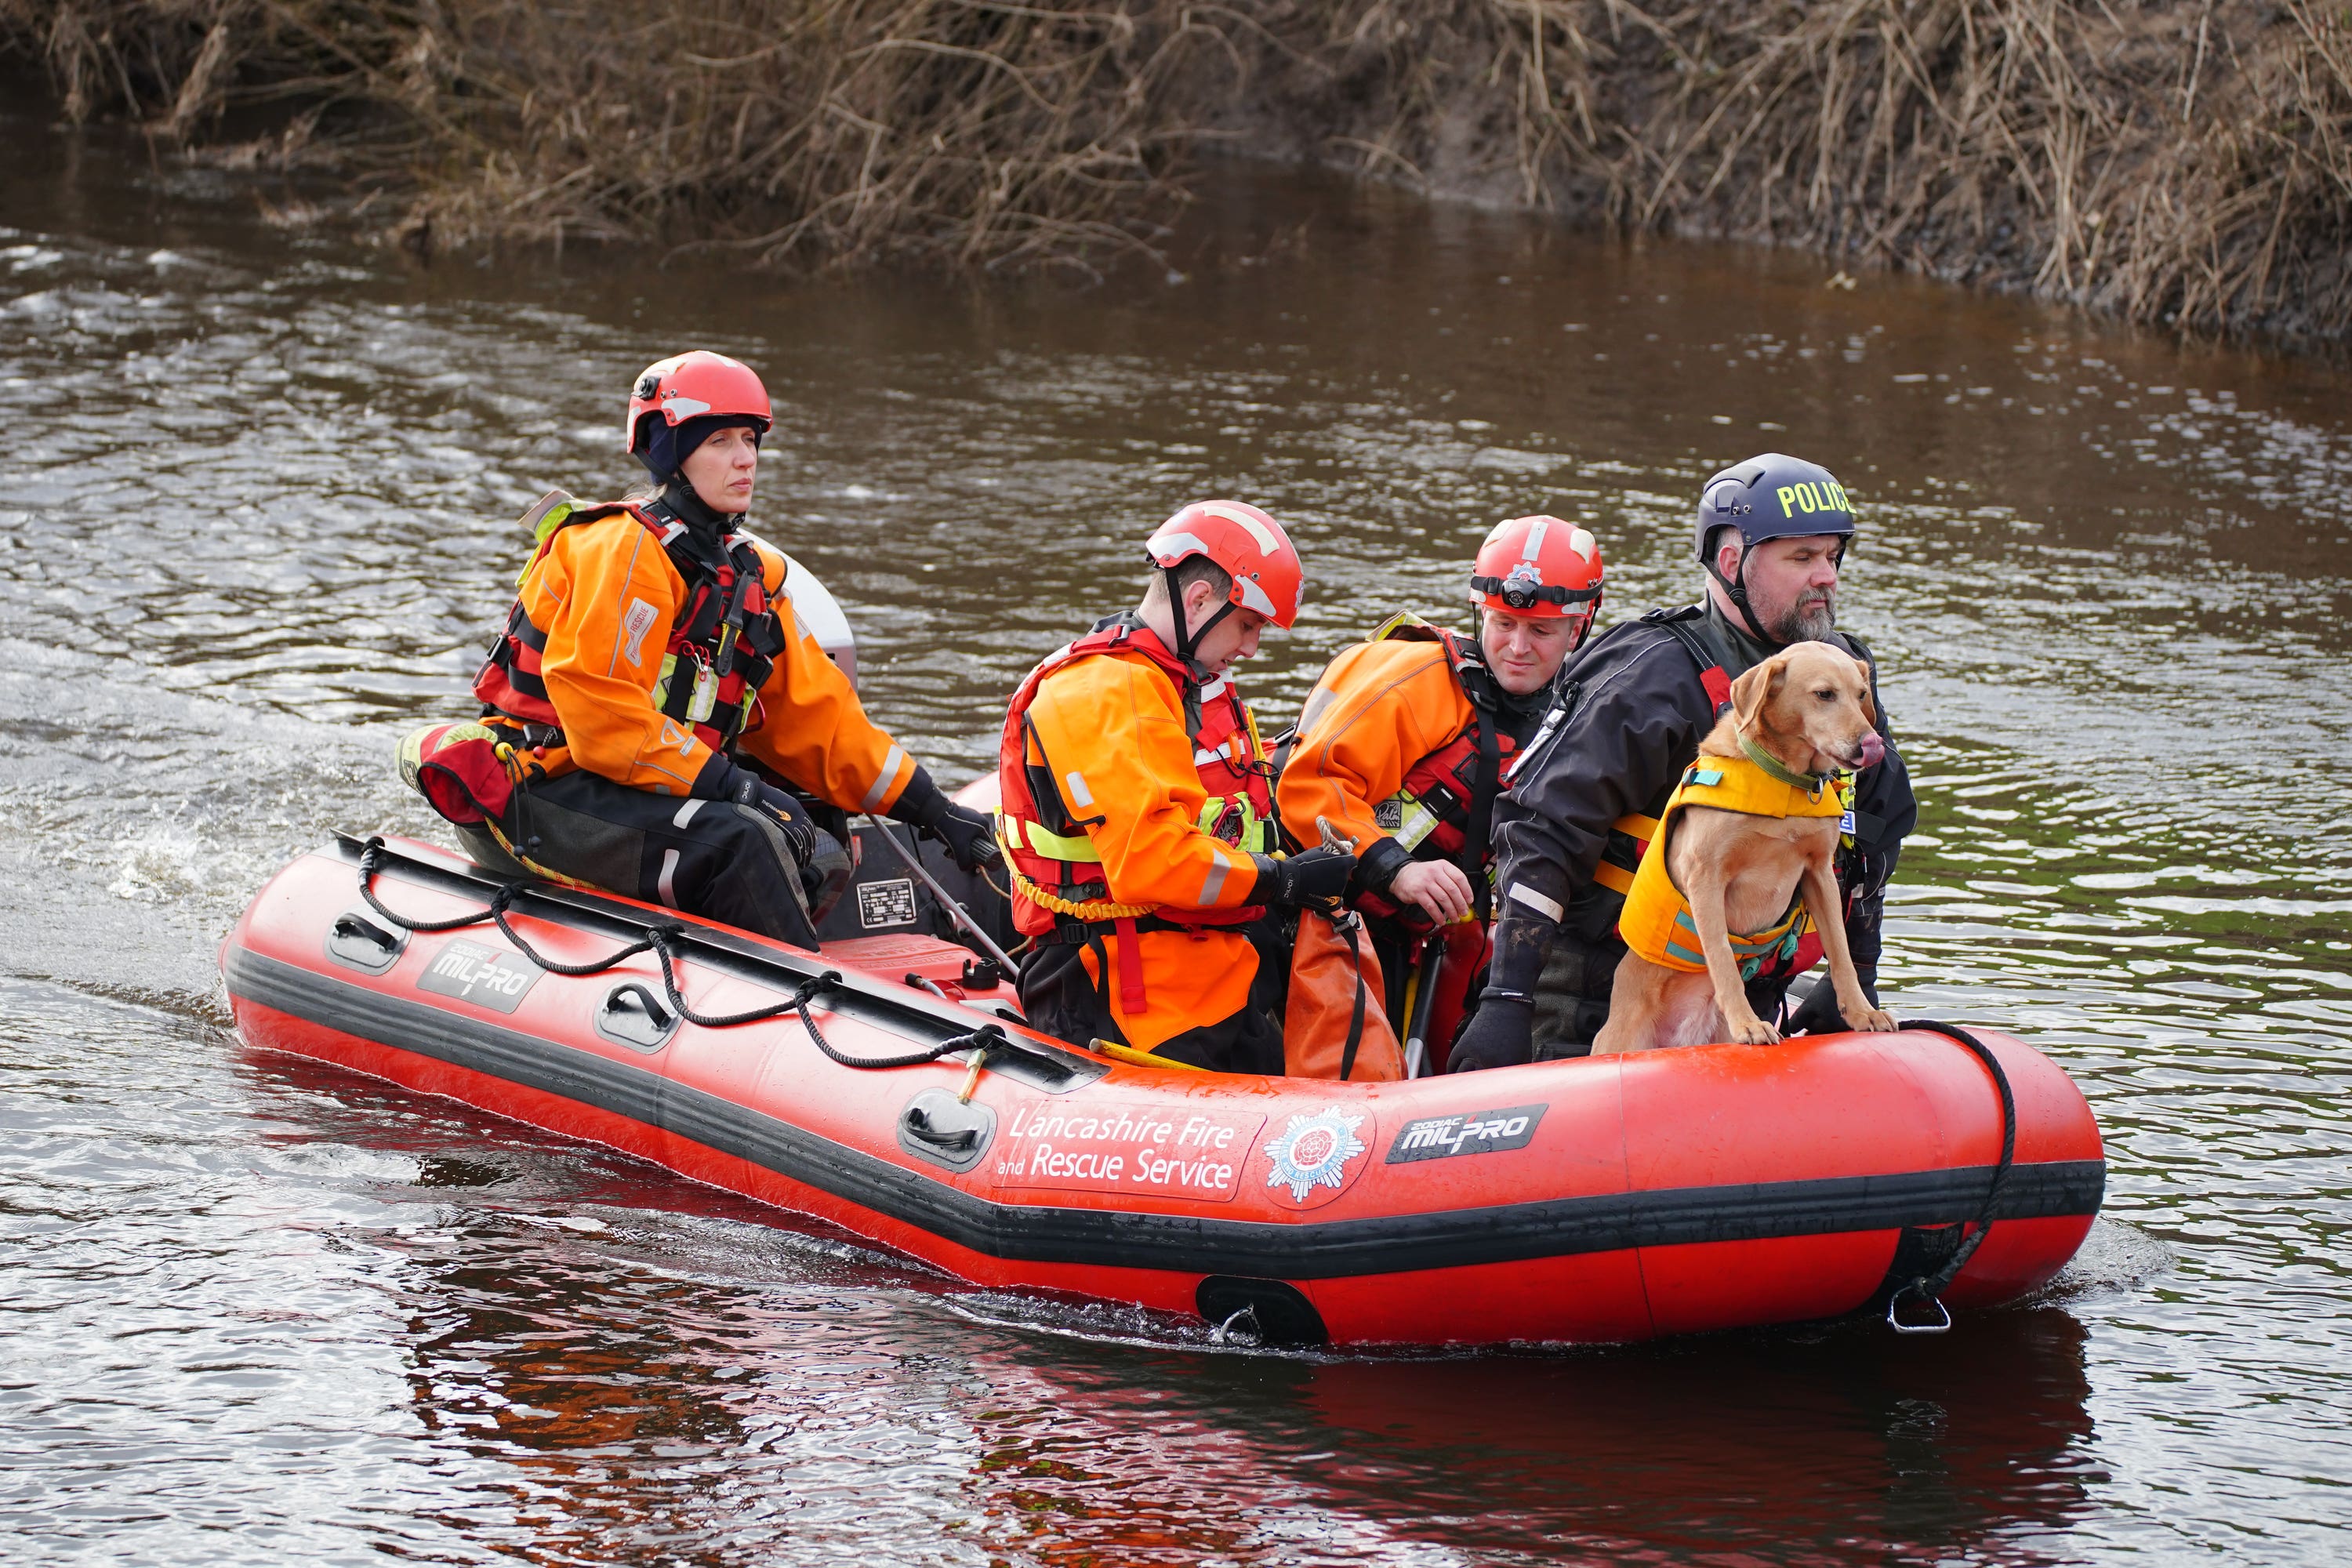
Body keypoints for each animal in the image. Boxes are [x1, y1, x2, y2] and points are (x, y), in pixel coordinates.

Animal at [1590, 639, 1900, 1053]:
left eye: (1862, 694)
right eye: (1824, 694)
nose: (1873, 745)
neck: (1783, 781)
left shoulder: (1819, 875)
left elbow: (1841, 951)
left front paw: (1862, 1012)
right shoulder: (1705, 877)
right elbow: (1723, 955)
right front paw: (1746, 1023)